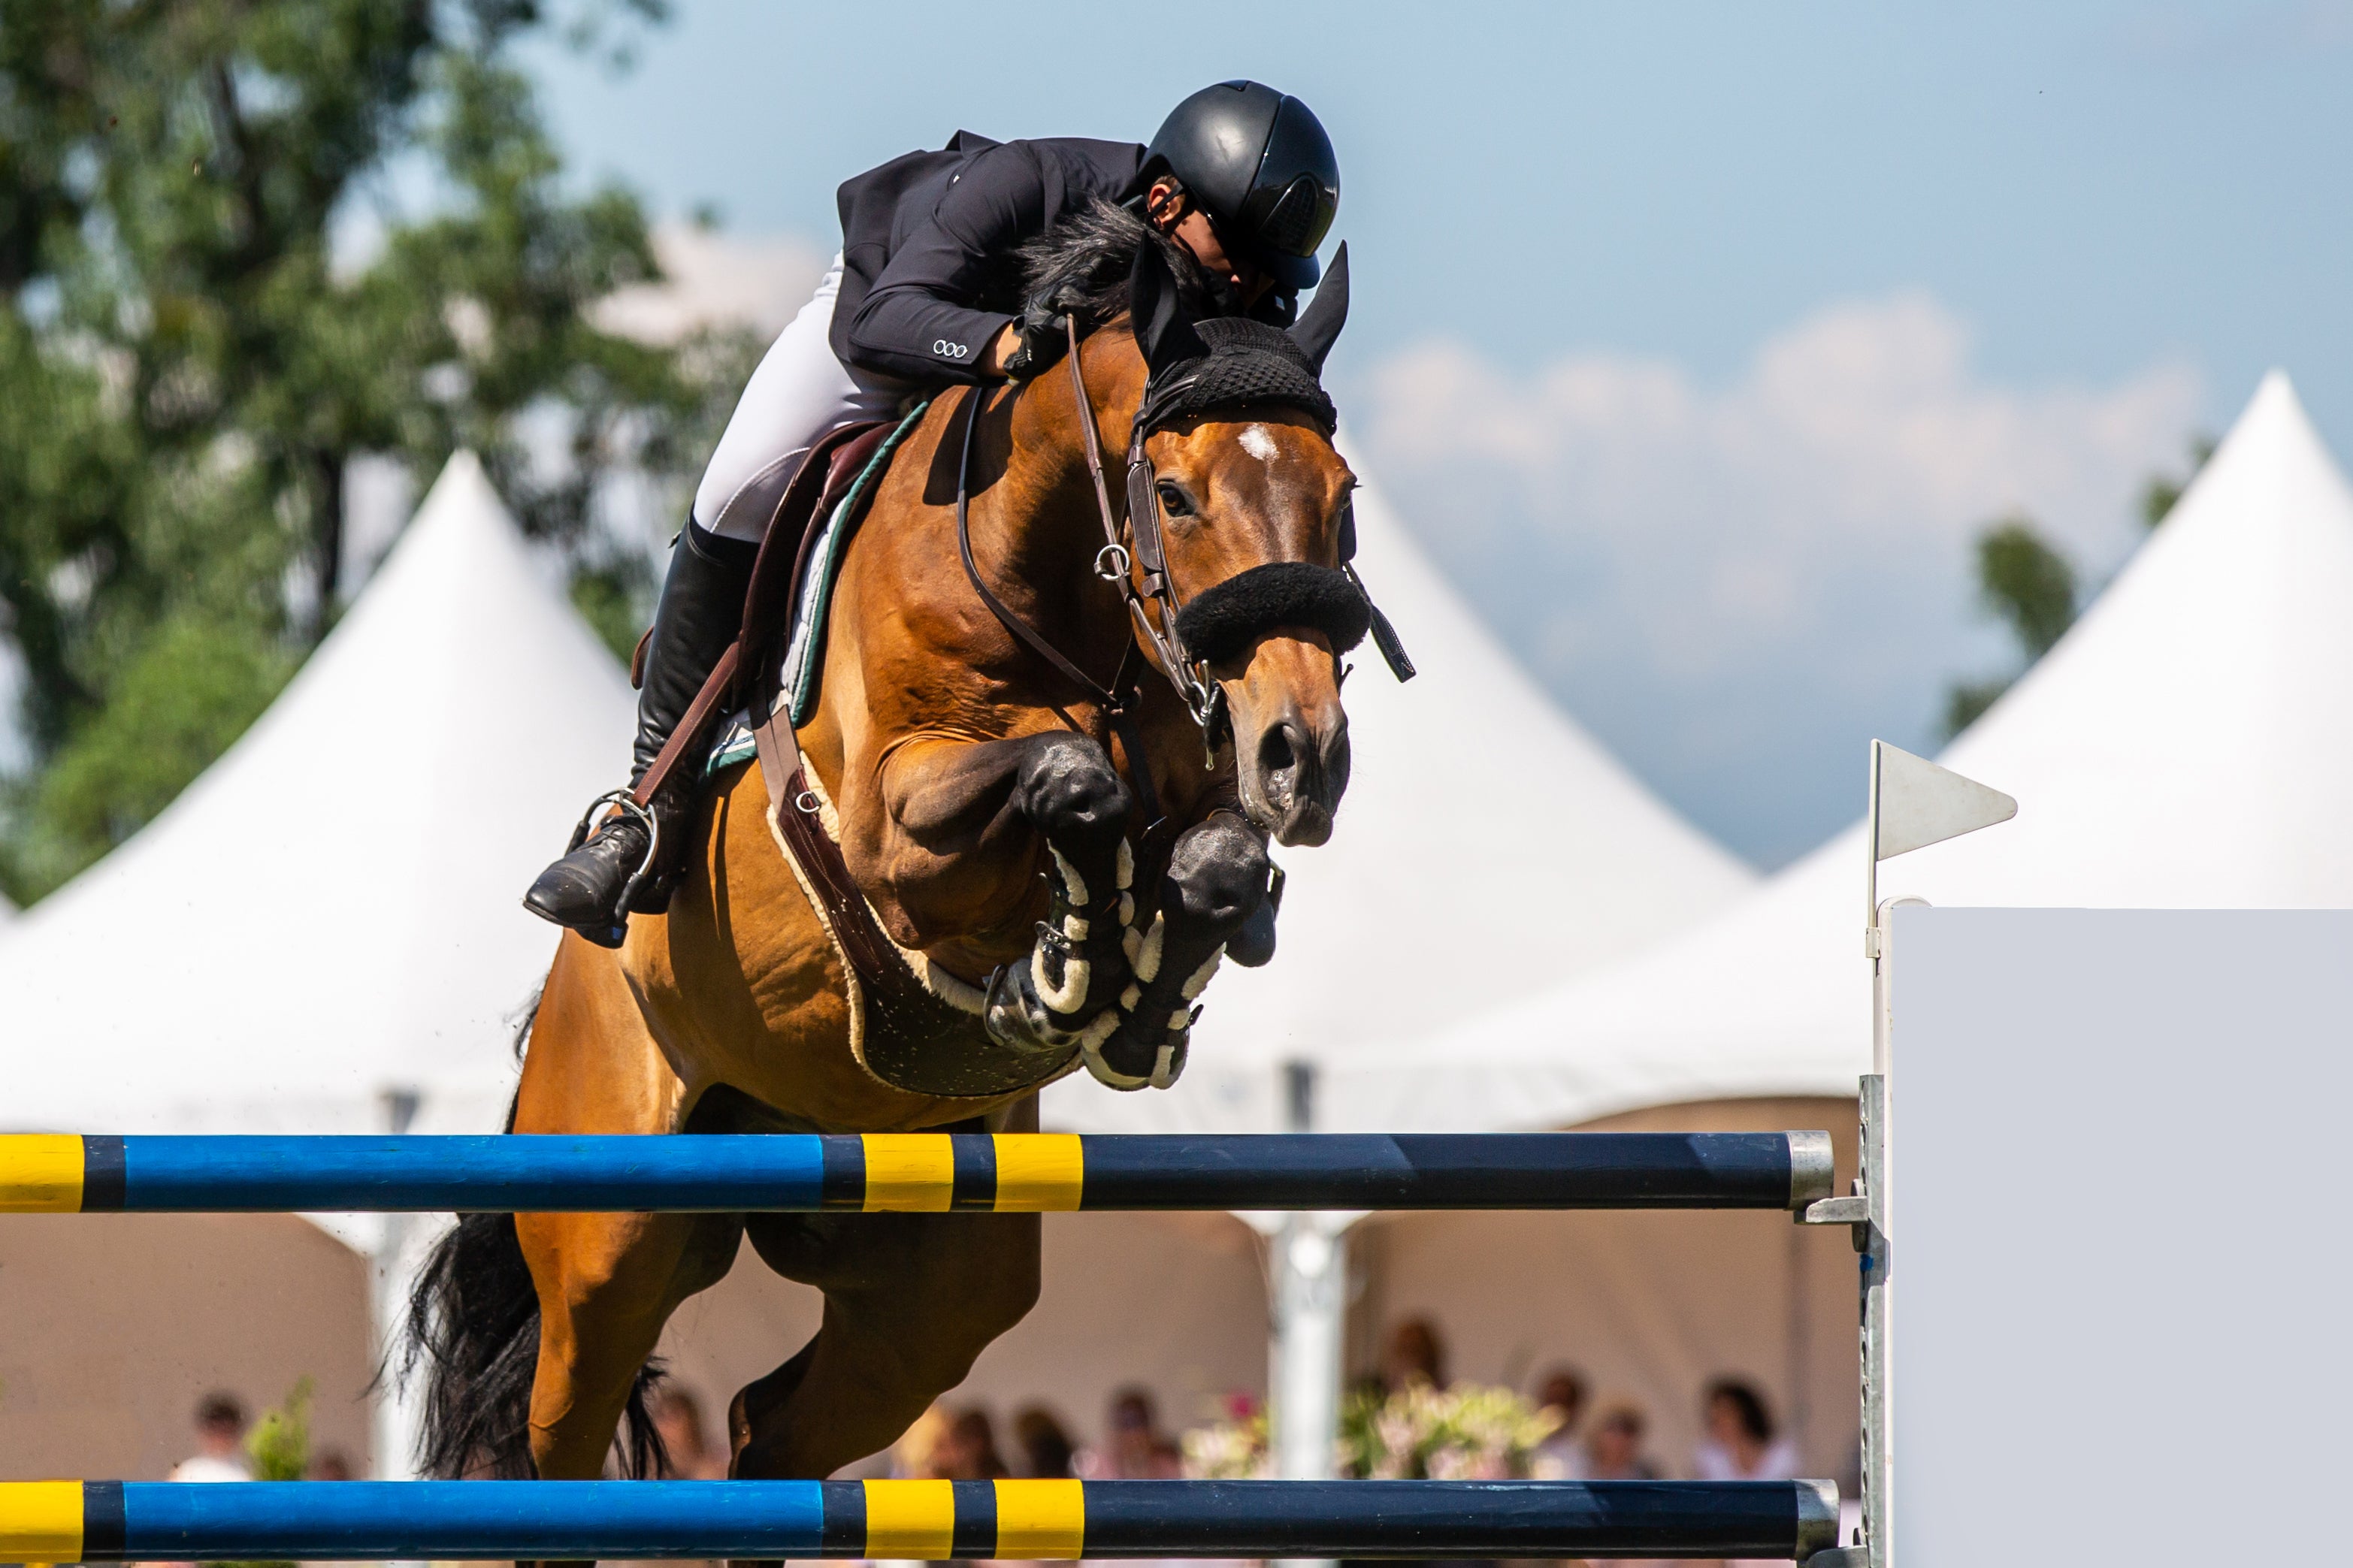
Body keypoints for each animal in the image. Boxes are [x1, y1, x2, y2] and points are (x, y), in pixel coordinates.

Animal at [407, 212, 1369, 1495]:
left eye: (1340, 497)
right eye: (1172, 493)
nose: (1301, 757)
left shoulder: (1203, 788)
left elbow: (1211, 863)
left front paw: (1134, 997)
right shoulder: (885, 831)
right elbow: (1068, 776)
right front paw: (1066, 964)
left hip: (931, 1290)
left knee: (767, 1426)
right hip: (611, 1242)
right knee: (551, 1432)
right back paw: (611, 861)